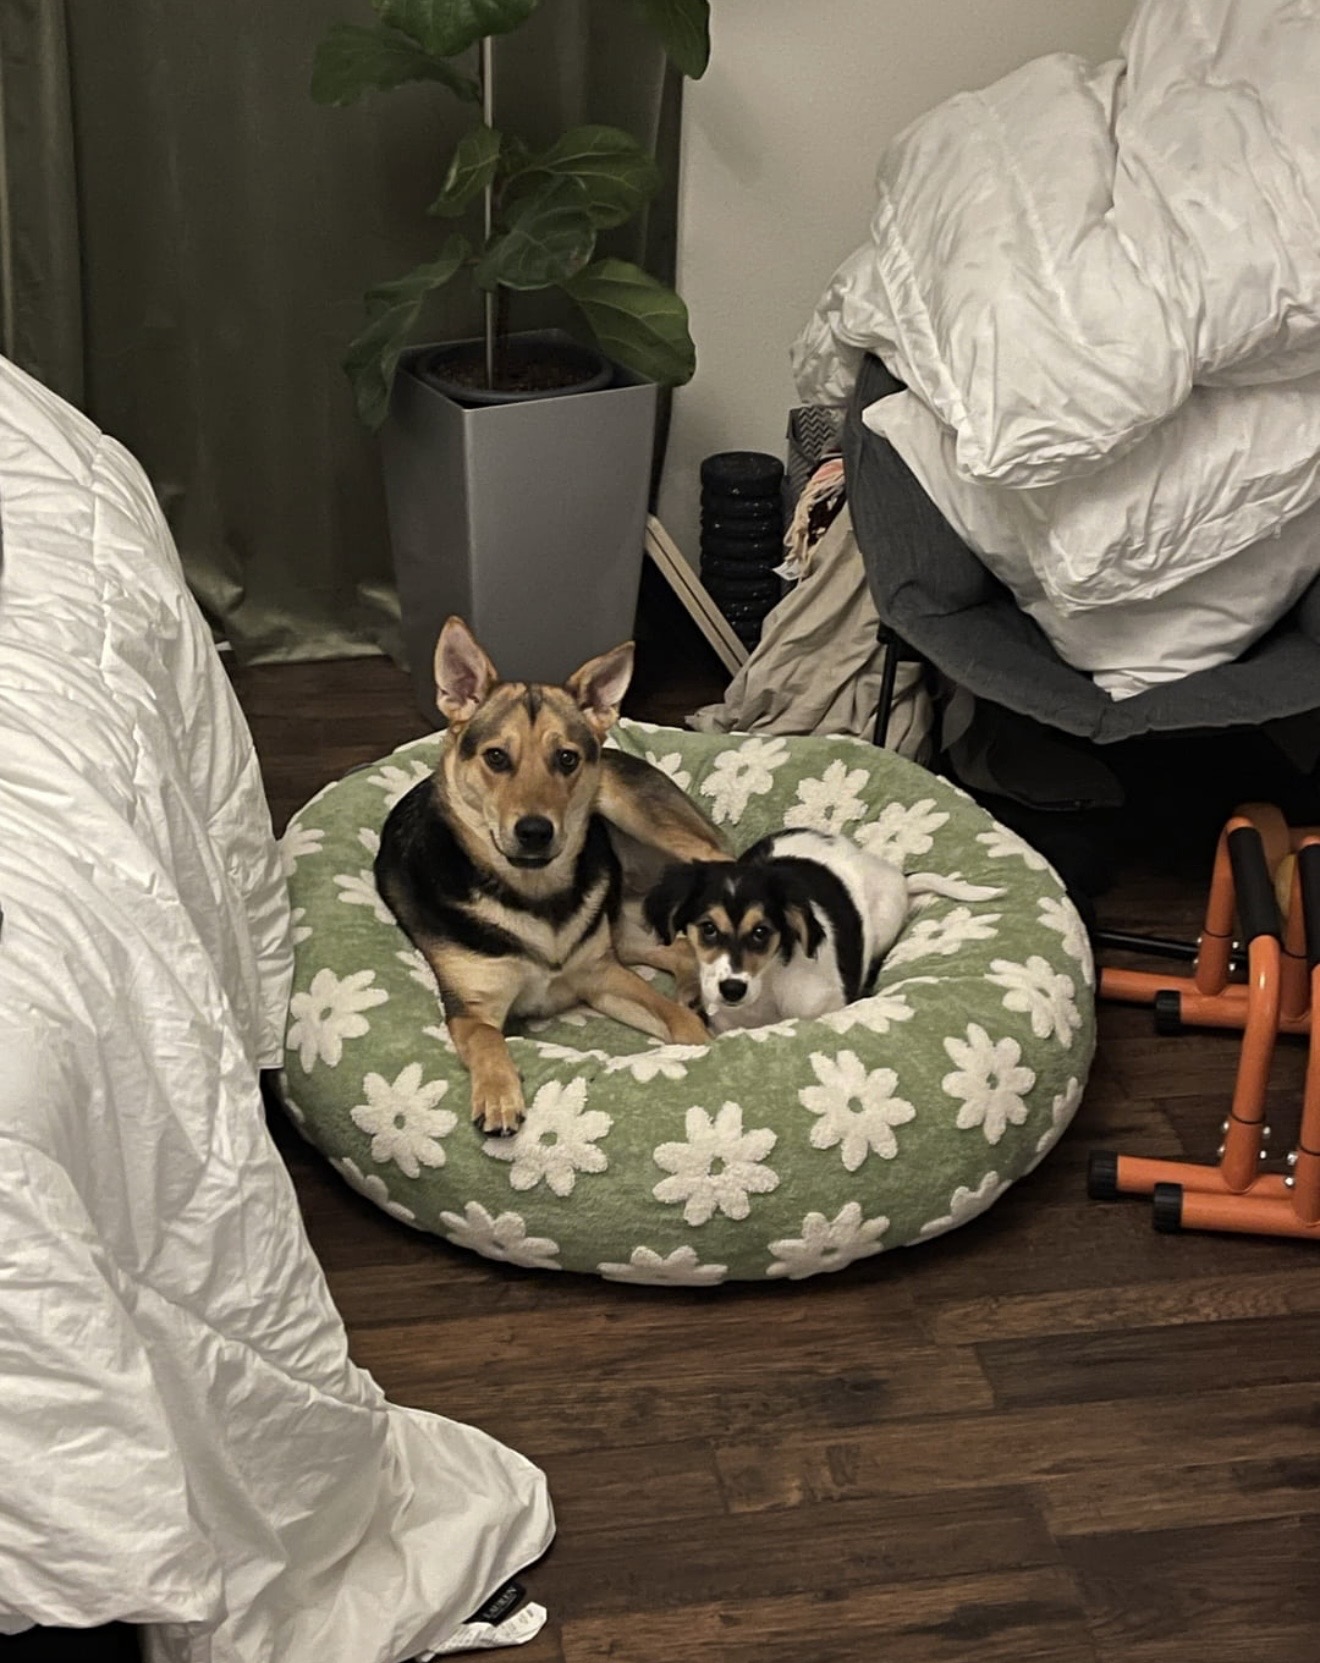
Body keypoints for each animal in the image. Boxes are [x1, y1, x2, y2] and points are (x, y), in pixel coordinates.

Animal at [374, 616, 729, 1134]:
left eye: (566, 759)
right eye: (496, 757)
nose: (535, 832)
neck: (536, 896)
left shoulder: (603, 975)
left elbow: (673, 1018)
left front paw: (700, 1038)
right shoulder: (472, 1009)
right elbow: (488, 1041)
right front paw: (498, 1095)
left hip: (642, 820)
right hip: (624, 927)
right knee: (680, 949)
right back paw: (691, 986)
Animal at [645, 827, 1001, 1033]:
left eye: (761, 932)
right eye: (708, 928)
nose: (732, 989)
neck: (769, 990)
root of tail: (899, 877)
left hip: (884, 923)